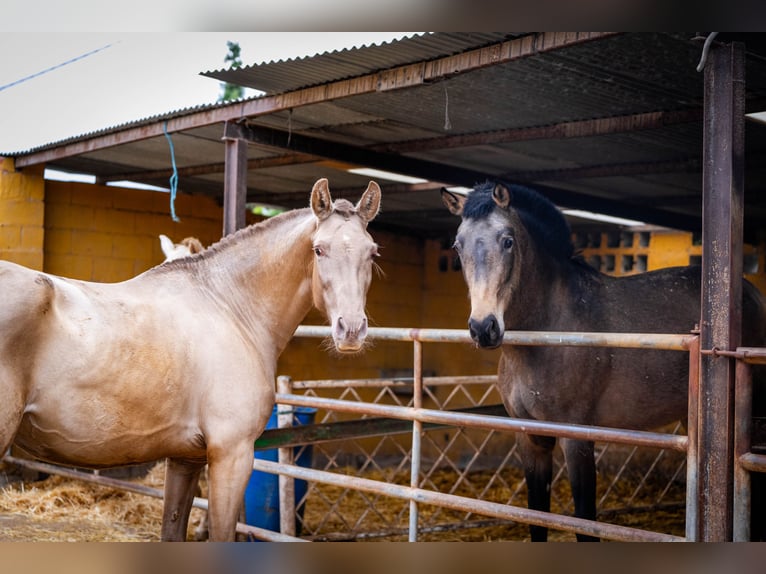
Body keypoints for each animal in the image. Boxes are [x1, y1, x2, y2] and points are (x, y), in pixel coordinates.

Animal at [0, 178, 384, 544]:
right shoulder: (232, 456)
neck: (228, 305)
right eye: (319, 249)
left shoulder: (186, 458)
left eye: (372, 252)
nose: (351, 329)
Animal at [444, 182, 766, 544]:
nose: (483, 327)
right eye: (457, 246)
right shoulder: (529, 438)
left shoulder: (577, 439)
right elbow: (536, 518)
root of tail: (751, 293)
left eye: (508, 240)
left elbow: (586, 522)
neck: (551, 329)